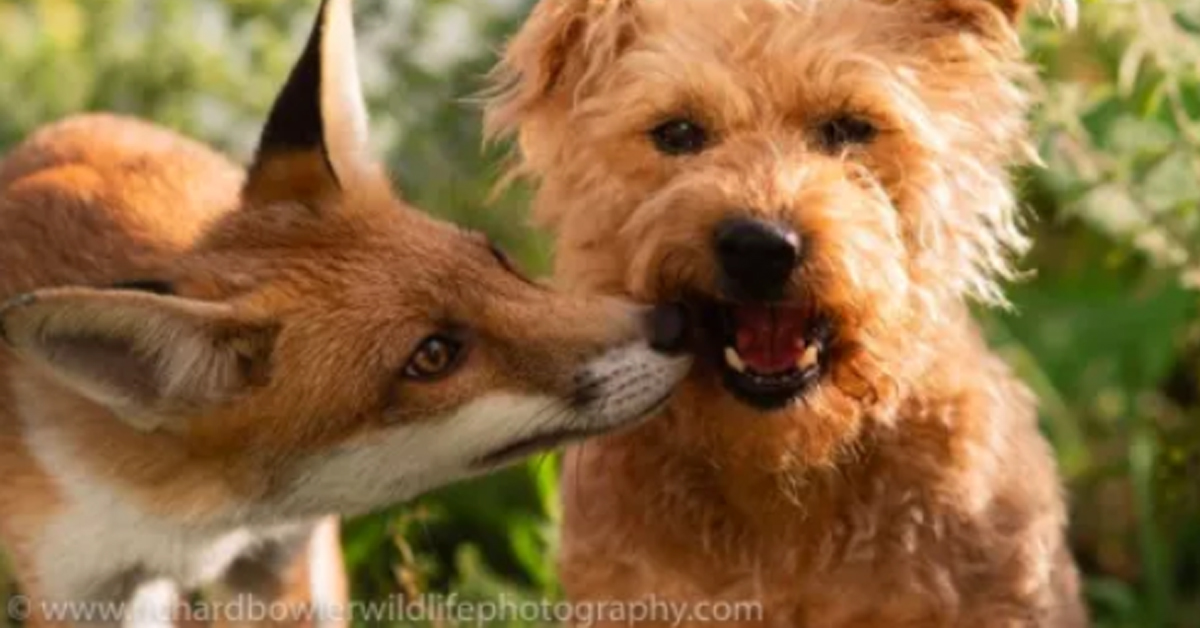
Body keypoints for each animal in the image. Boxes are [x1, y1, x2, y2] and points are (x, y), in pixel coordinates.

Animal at [0, 0, 696, 624]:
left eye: (495, 257)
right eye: (433, 356)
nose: (679, 322)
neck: (198, 515)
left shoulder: (278, 560)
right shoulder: (78, 586)